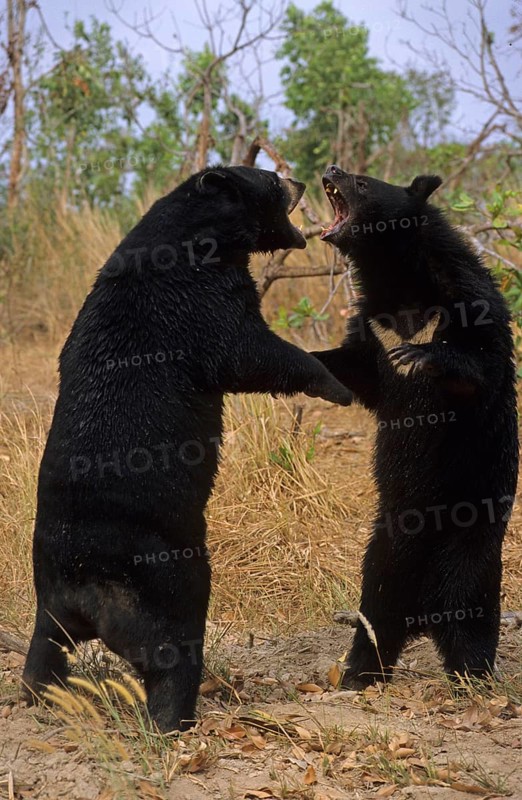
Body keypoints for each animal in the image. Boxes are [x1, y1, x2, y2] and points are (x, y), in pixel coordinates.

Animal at [22, 165, 353, 732]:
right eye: (271, 181)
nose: (301, 181)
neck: (198, 237)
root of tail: (84, 594)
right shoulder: (199, 299)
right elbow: (249, 352)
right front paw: (339, 385)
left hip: (48, 604)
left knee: (45, 648)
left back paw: (38, 694)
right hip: (168, 580)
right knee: (173, 649)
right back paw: (176, 718)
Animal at [312, 164, 518, 687]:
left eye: (363, 183)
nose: (331, 169)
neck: (401, 276)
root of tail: (424, 617)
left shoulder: (469, 299)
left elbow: (480, 363)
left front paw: (419, 357)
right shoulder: (371, 327)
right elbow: (354, 369)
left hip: (471, 543)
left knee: (470, 613)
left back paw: (472, 676)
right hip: (383, 554)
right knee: (375, 615)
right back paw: (358, 673)